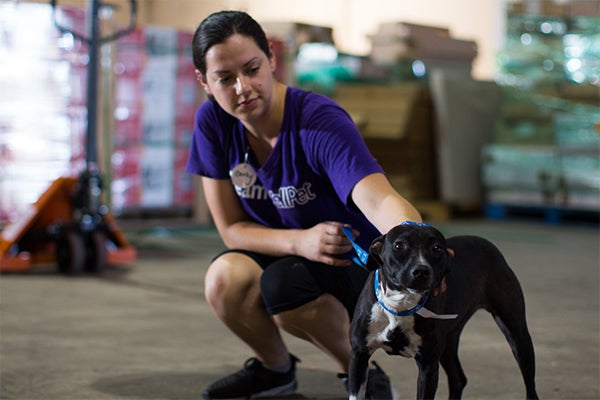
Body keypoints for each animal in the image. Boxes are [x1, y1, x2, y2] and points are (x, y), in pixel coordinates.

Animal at [346, 223, 540, 398]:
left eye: (437, 248)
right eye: (398, 245)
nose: (421, 270)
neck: (401, 305)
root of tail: (487, 244)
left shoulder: (428, 365)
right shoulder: (359, 356)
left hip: (517, 334)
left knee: (530, 385)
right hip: (449, 342)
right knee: (458, 379)